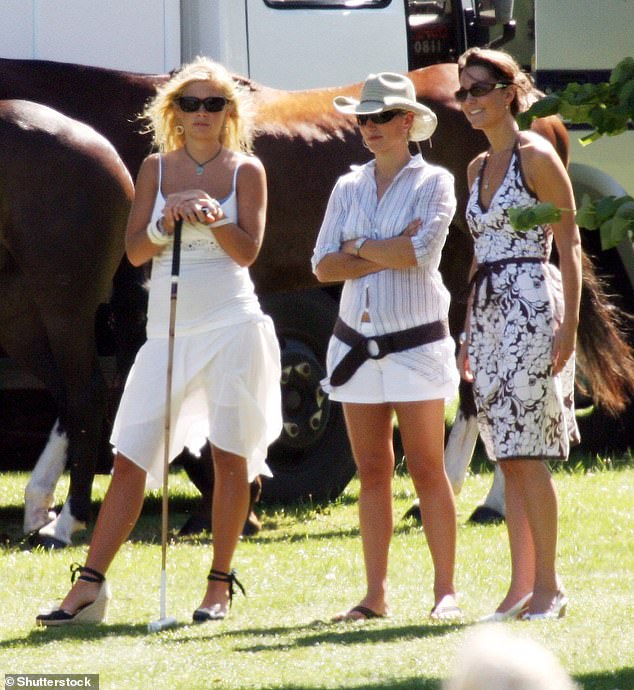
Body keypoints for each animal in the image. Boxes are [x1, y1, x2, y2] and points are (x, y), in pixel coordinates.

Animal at [0, 99, 133, 544]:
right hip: (18, 317)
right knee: (66, 395)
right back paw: (39, 505)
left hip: (65, 309)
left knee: (86, 394)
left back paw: (67, 520)